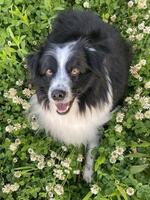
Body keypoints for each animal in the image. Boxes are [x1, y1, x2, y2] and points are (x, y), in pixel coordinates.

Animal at [27, 9, 131, 183]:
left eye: (75, 70)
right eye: (49, 71)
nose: (57, 95)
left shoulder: (95, 123)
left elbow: (92, 149)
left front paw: (87, 175)